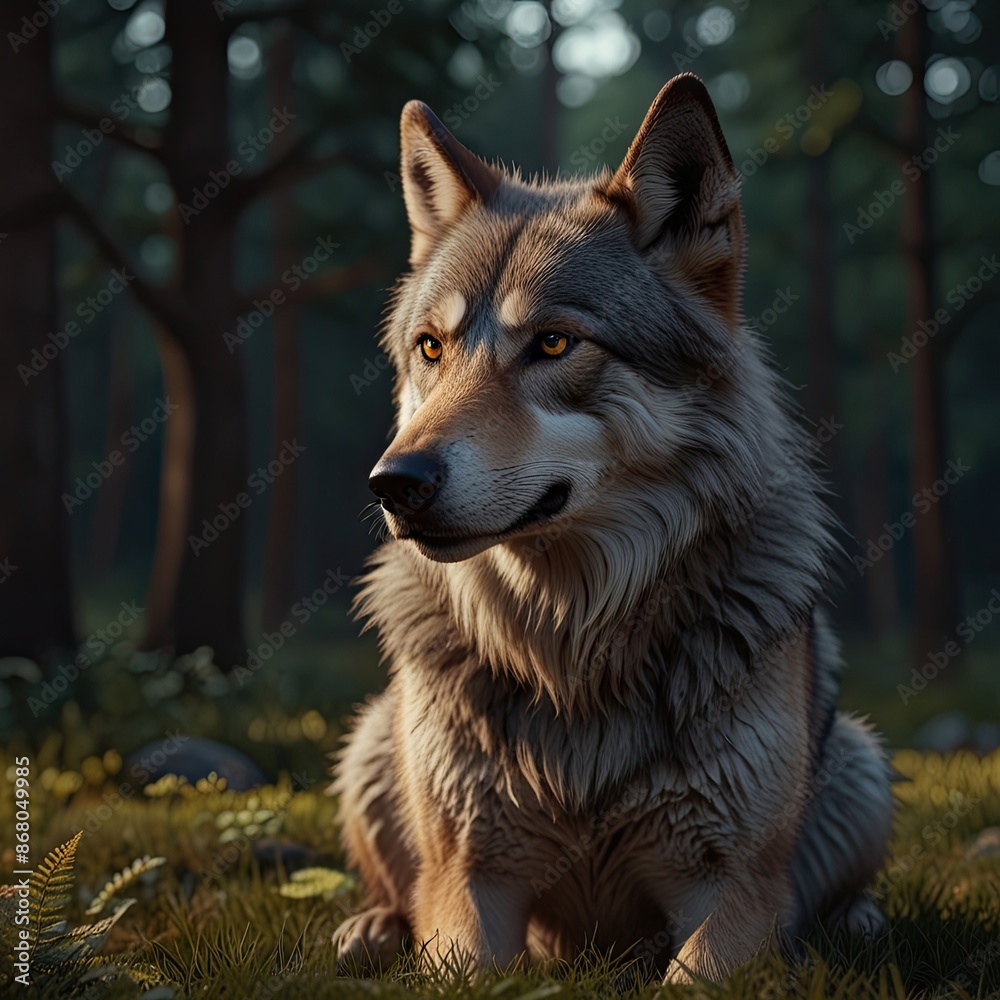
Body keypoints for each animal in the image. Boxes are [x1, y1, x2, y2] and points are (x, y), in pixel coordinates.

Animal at [331, 74, 893, 983]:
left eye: (555, 343)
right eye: (431, 348)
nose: (395, 484)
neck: (571, 643)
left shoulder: (736, 892)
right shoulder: (469, 880)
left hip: (859, 762)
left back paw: (860, 923)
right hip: (372, 743)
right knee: (396, 886)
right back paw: (370, 928)